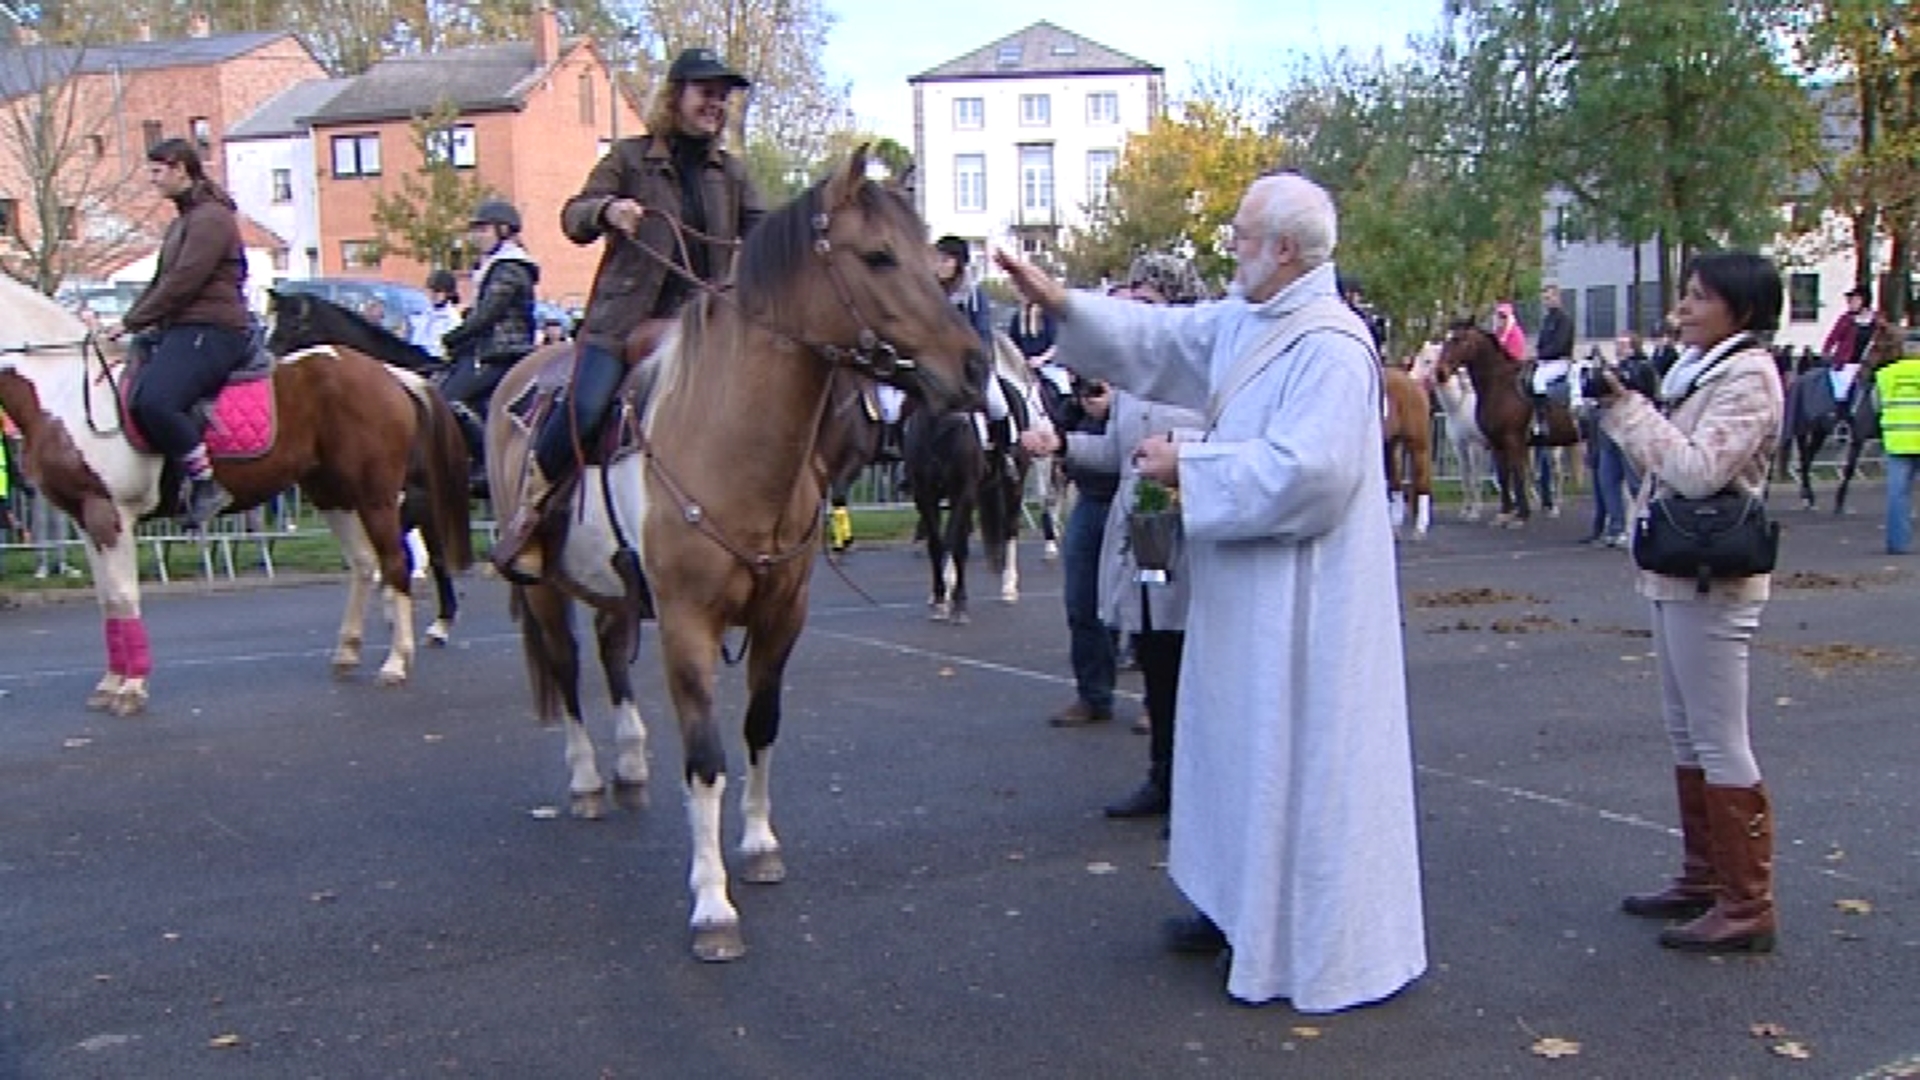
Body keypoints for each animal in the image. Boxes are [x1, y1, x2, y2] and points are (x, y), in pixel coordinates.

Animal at [0, 269, 472, 711]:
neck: (65, 390)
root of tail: (390, 374)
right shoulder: (86, 518)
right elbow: (107, 600)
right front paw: (112, 682)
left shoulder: (110, 514)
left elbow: (122, 594)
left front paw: (131, 687)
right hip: (332, 493)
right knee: (363, 563)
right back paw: (348, 651)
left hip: (376, 495)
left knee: (394, 563)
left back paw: (397, 661)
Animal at [487, 148, 983, 957]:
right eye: (878, 256)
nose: (973, 370)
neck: (732, 444)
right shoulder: (688, 625)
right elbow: (706, 760)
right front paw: (712, 905)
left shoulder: (784, 616)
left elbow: (761, 729)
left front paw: (757, 847)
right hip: (542, 587)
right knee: (564, 669)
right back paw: (589, 781)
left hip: (615, 589)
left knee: (611, 654)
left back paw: (630, 763)